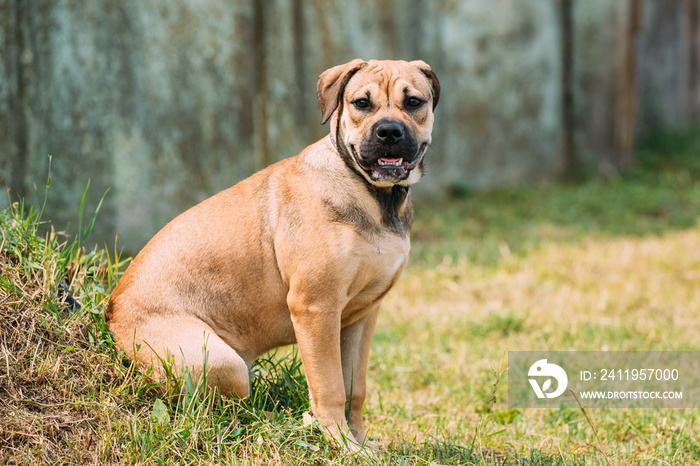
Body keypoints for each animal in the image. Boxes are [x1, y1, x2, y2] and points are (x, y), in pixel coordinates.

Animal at [105, 59, 438, 448]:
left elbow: (355, 388)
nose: (389, 132)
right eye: (361, 103)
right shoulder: (316, 308)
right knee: (213, 411)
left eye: (414, 102)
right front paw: (341, 444)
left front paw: (359, 440)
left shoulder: (361, 316)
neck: (375, 197)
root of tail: (111, 312)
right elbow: (331, 386)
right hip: (220, 362)